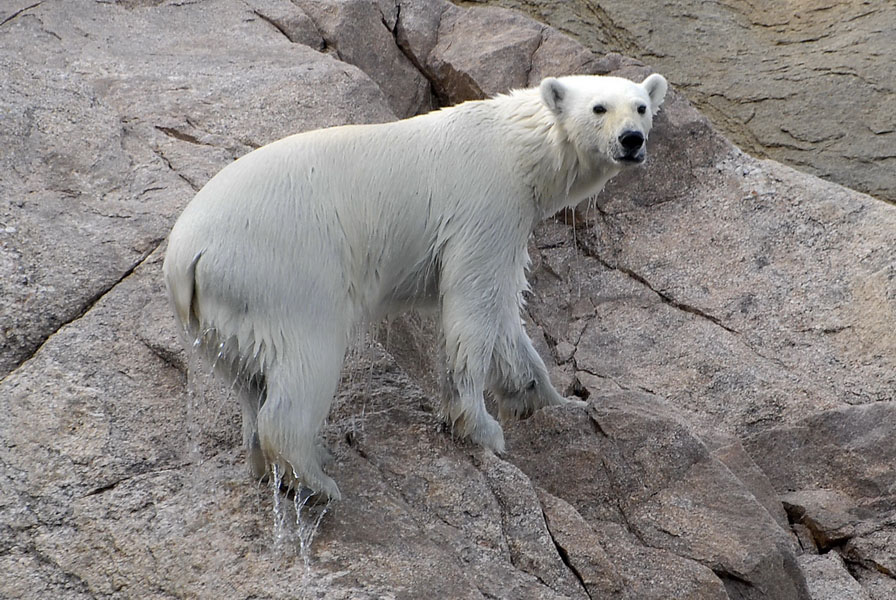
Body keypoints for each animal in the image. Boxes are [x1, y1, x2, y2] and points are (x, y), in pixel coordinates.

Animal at [163, 72, 664, 500]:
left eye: (641, 107)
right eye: (599, 107)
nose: (631, 140)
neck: (516, 147)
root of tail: (185, 258)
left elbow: (503, 306)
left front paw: (545, 399)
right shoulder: (486, 204)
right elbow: (473, 301)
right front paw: (481, 427)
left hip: (222, 312)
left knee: (247, 378)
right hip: (281, 270)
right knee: (305, 358)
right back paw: (315, 480)